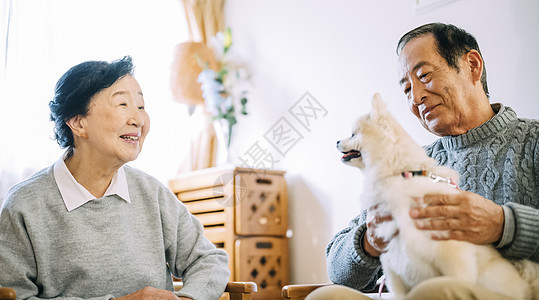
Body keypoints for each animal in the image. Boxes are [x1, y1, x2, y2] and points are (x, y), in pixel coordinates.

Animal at [338, 93, 539, 298]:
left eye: (353, 134)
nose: (336, 141)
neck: (402, 174)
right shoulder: (393, 264)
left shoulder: (451, 251)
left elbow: (457, 278)